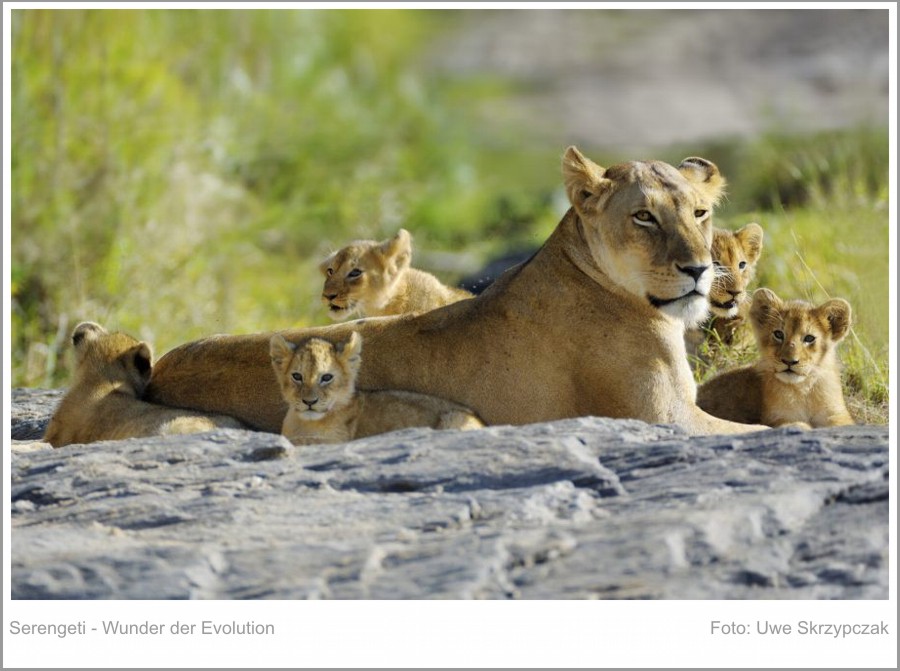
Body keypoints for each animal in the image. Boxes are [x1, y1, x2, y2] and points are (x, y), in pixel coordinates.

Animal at [270, 331, 483, 445]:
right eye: (297, 376)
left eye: (327, 377)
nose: (309, 402)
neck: (304, 422)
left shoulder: (337, 442)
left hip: (454, 418)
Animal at [696, 288, 854, 428]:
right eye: (778, 334)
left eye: (809, 338)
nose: (789, 361)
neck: (803, 389)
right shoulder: (777, 417)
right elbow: (797, 425)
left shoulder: (835, 413)